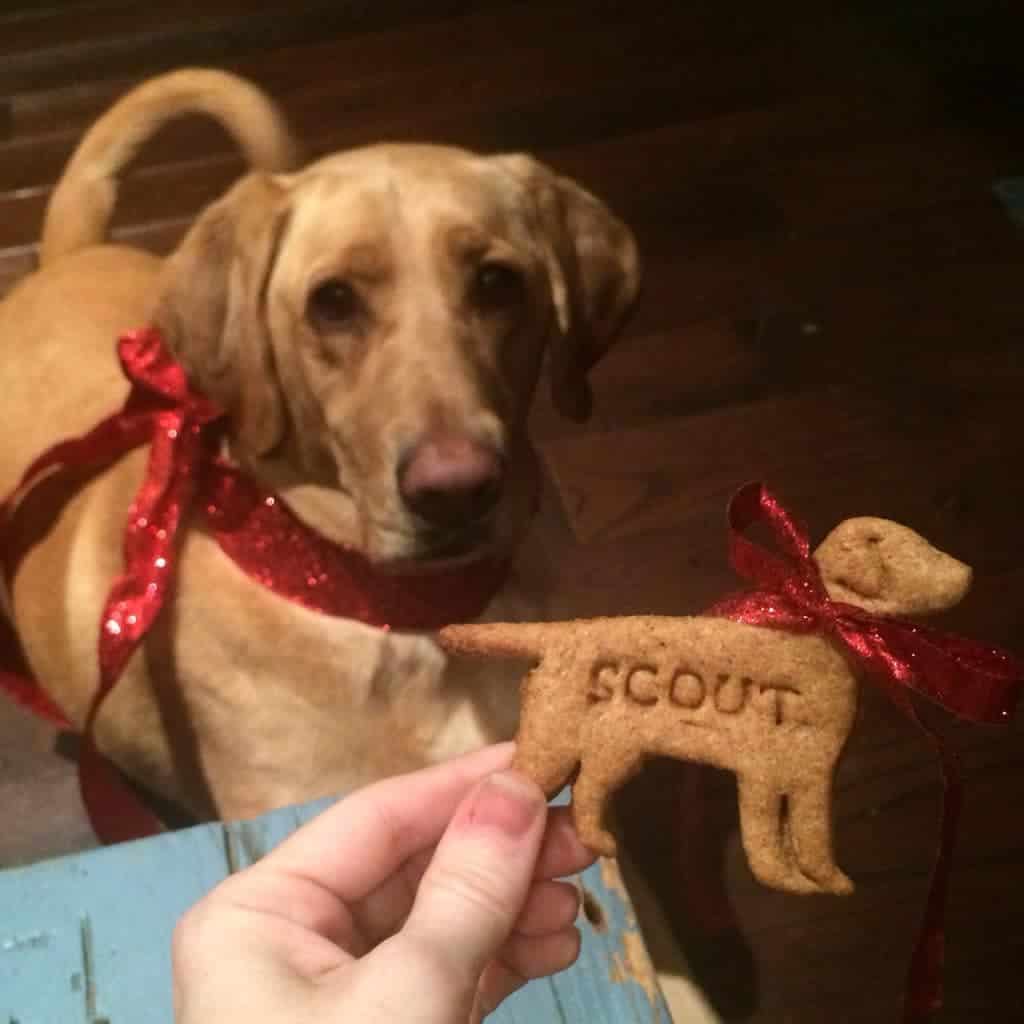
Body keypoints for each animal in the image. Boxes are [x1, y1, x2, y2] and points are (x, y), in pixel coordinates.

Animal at [438, 516, 966, 892]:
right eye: (915, 547)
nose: (967, 572)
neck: (817, 630)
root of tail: (555, 636)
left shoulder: (804, 776)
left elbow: (800, 839)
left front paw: (818, 880)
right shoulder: (767, 773)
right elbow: (771, 839)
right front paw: (801, 878)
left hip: (613, 750)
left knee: (587, 792)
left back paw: (601, 839)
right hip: (556, 740)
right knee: (530, 780)